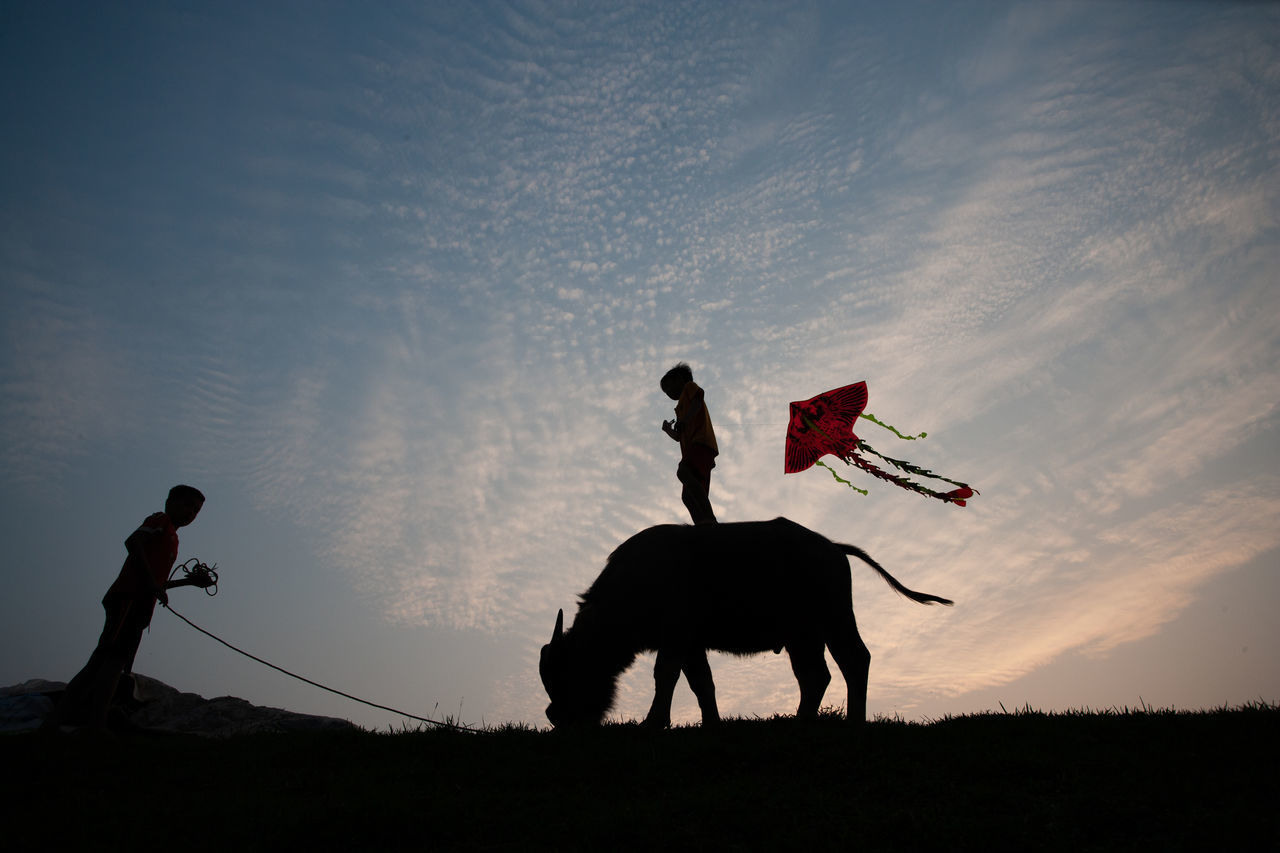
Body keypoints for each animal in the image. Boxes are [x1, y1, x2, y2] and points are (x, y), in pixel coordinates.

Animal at [540, 517, 952, 722]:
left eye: (566, 673)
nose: (557, 718)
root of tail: (833, 548)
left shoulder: (676, 640)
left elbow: (665, 678)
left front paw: (653, 722)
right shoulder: (692, 646)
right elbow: (702, 686)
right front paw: (711, 724)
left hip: (832, 623)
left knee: (852, 663)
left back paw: (850, 722)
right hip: (806, 637)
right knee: (819, 675)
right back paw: (803, 721)